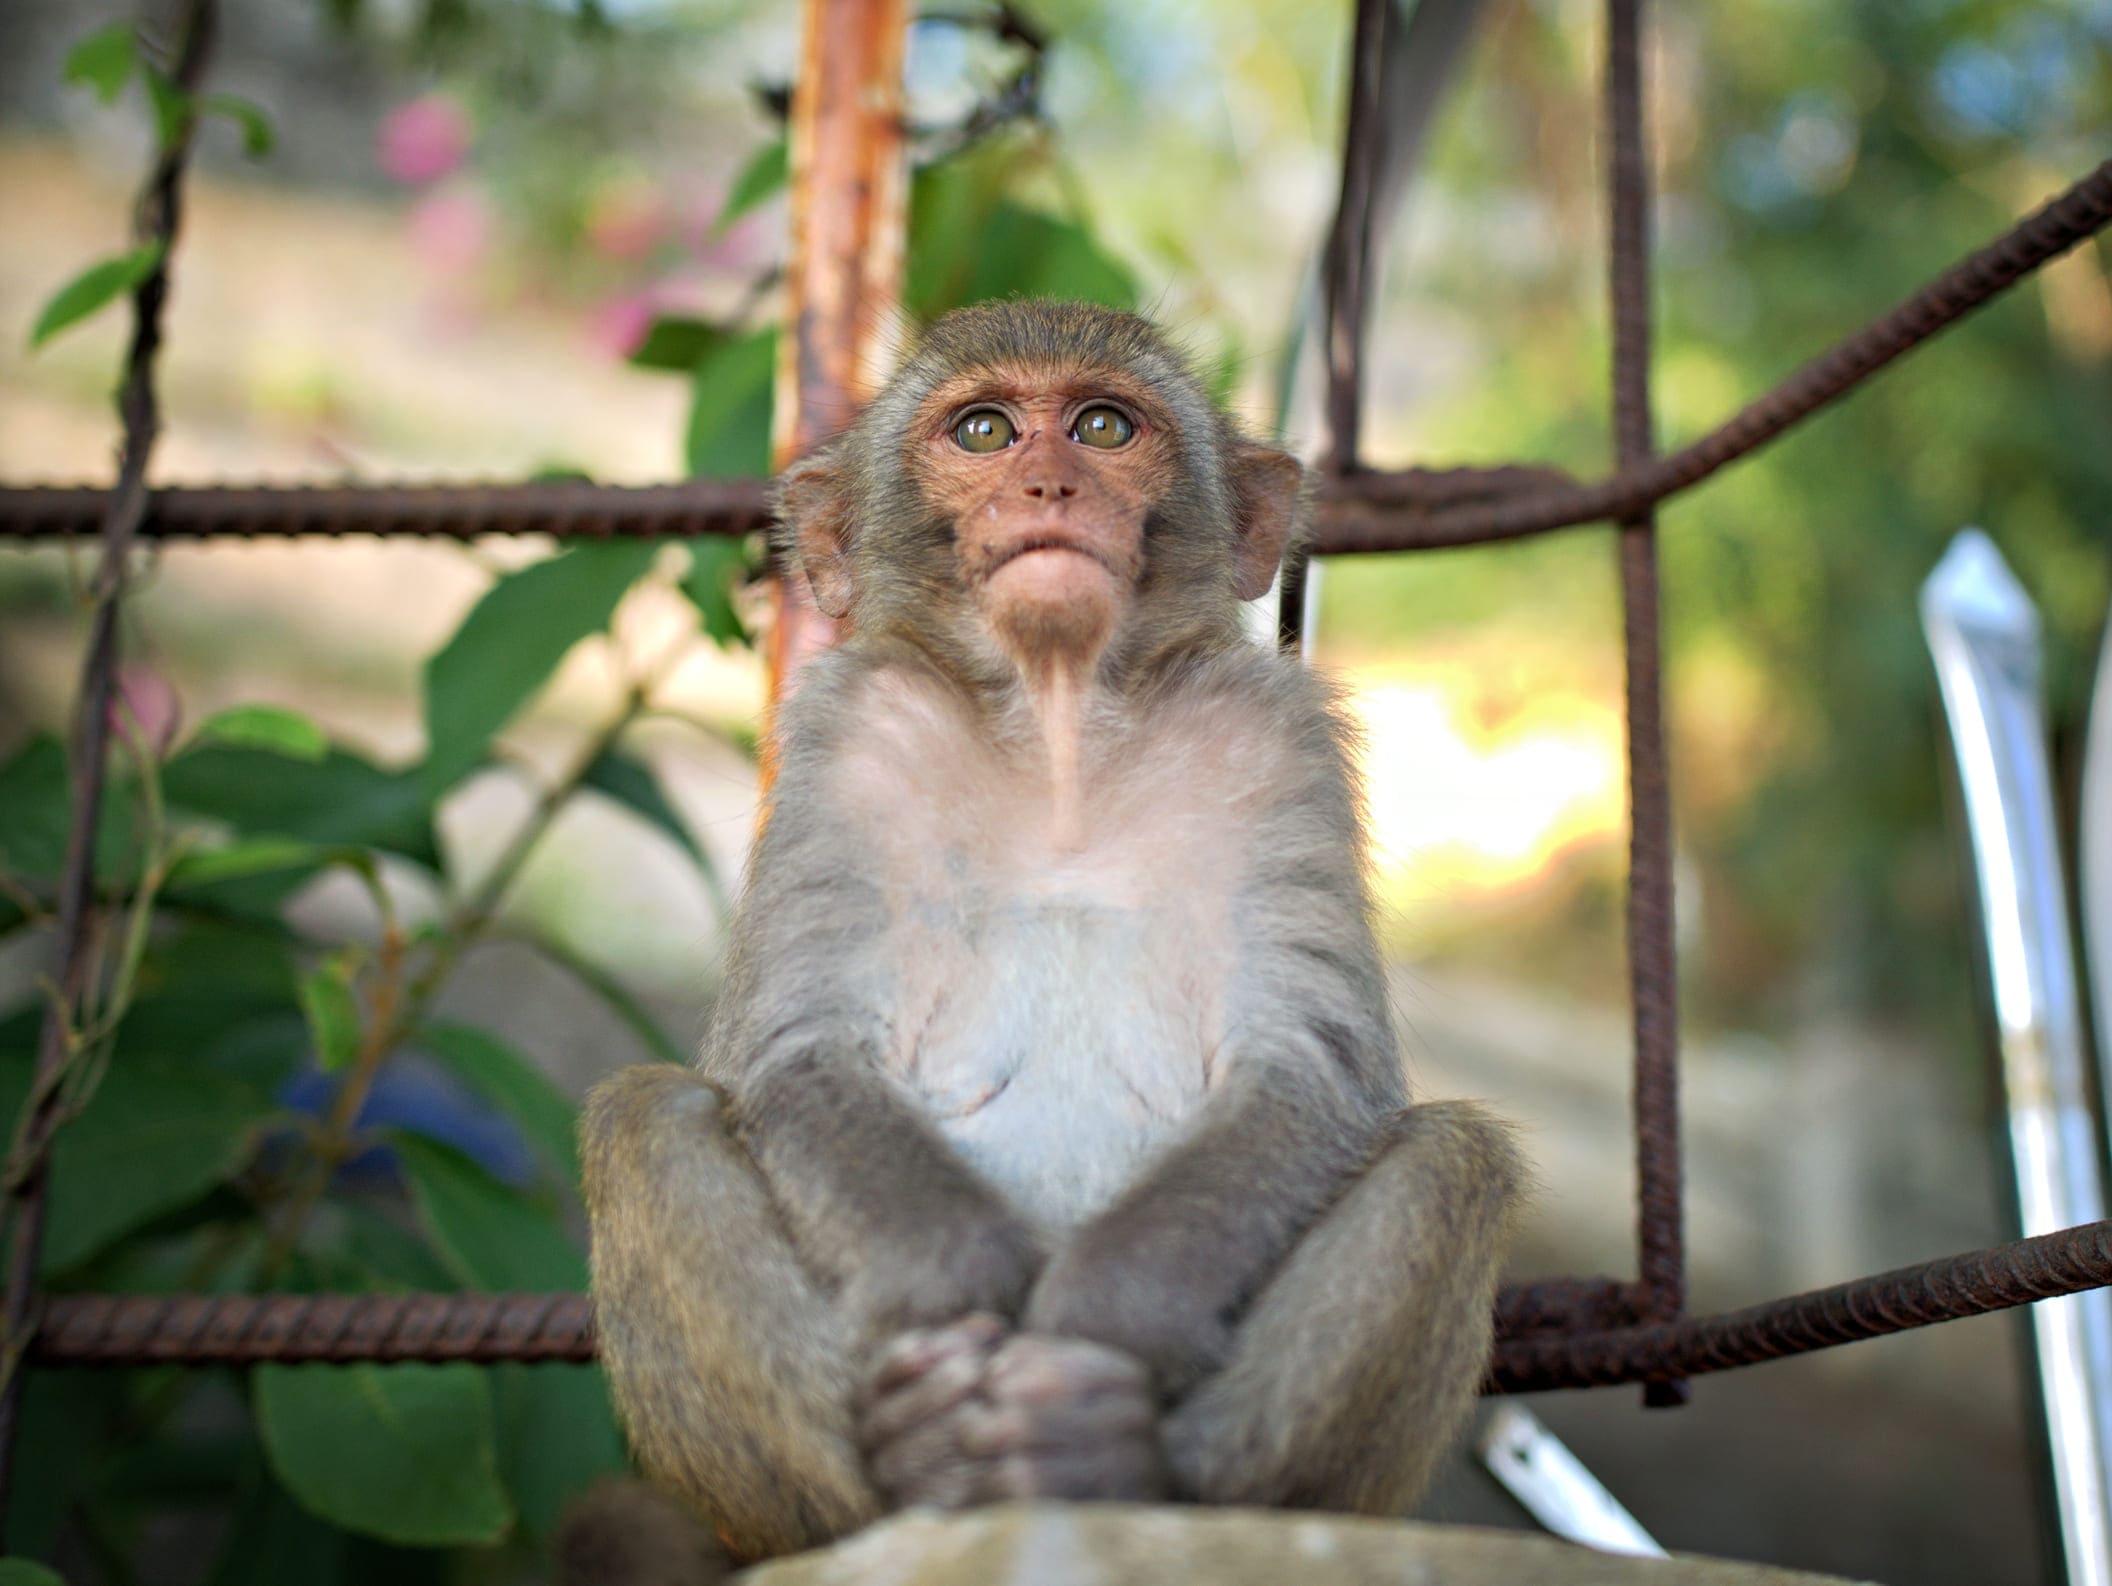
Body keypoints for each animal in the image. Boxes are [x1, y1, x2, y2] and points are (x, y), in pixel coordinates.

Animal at [573, 299, 1524, 1576]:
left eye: (1104, 426)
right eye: (983, 429)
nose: (1048, 484)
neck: (1061, 722)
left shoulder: (1276, 744)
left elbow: (1315, 1066)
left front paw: (1091, 1326)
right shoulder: (849, 734)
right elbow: (797, 1049)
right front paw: (965, 1299)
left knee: (1452, 1158)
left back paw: (1116, 1460)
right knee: (649, 1120)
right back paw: (914, 1468)